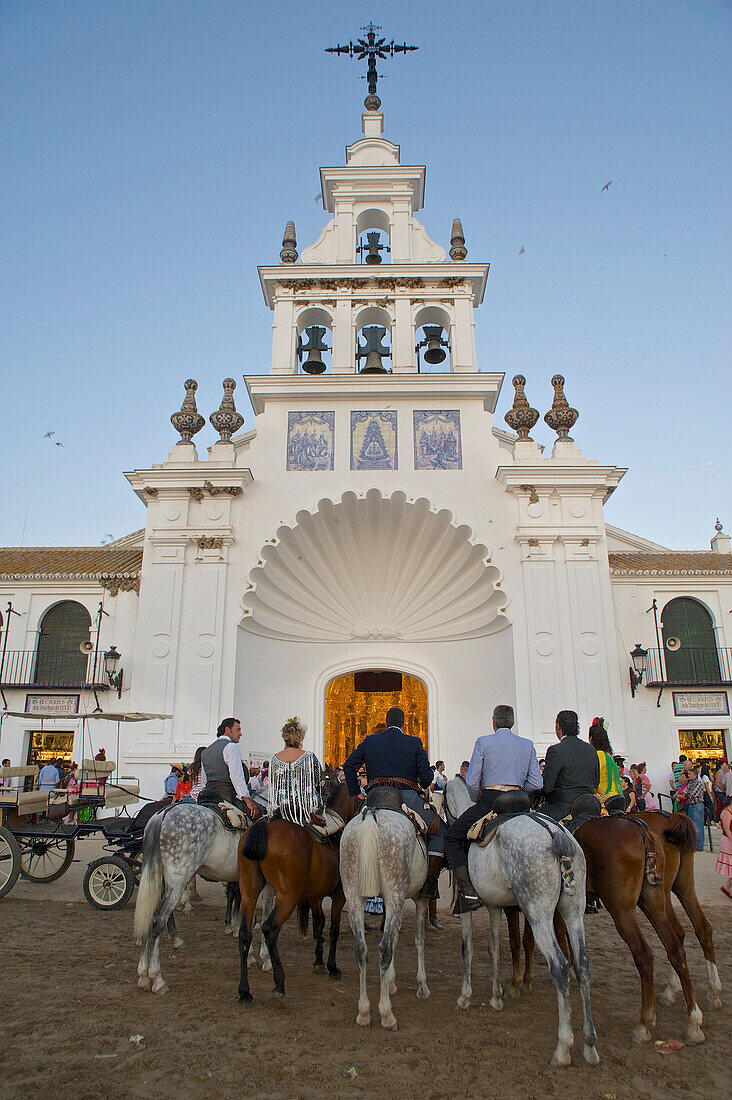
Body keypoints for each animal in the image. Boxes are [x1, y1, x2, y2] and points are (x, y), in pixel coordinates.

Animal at [134, 800, 270, 998]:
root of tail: (163, 814)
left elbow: (246, 914)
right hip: (177, 880)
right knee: (158, 920)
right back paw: (157, 978)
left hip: (158, 879)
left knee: (149, 916)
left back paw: (144, 975)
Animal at [235, 778, 358, 1003]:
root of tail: (265, 825)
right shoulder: (339, 895)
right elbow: (333, 929)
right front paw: (332, 967)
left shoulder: (315, 895)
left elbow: (320, 923)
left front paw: (318, 961)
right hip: (287, 897)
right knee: (269, 928)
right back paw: (279, 983)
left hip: (249, 891)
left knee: (244, 933)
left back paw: (245, 991)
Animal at [339, 792, 433, 1029]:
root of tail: (372, 816)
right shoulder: (420, 898)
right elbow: (419, 939)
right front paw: (422, 987)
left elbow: (397, 938)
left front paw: (390, 983)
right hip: (394, 892)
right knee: (384, 949)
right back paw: (386, 1013)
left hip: (354, 896)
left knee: (361, 950)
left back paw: (363, 1012)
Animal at [453, 814, 598, 1069]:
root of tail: (553, 832)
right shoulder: (493, 904)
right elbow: (495, 948)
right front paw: (496, 997)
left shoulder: (466, 907)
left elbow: (467, 948)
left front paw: (465, 996)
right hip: (573, 912)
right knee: (582, 965)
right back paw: (590, 1044)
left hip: (538, 913)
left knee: (560, 966)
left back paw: (563, 1048)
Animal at [517, 814, 704, 1042]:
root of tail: (642, 830)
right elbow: (563, 937)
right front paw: (569, 970)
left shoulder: (538, 902)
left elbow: (532, 939)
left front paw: (528, 980)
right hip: (659, 900)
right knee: (678, 946)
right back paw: (693, 1020)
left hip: (622, 910)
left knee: (644, 954)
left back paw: (644, 1023)